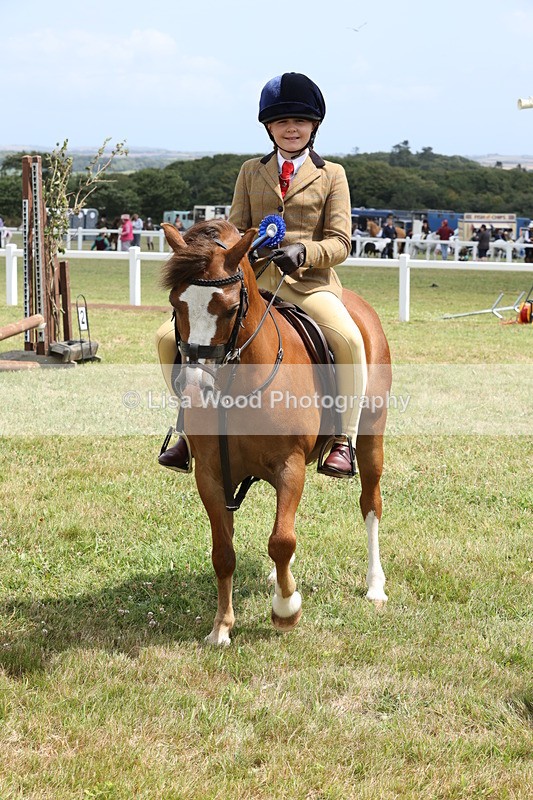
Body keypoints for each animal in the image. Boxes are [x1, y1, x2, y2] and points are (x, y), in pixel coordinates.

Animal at [160, 219, 392, 646]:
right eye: (175, 304)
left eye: (230, 308)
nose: (194, 390)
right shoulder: (211, 474)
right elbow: (224, 552)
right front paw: (221, 627)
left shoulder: (290, 464)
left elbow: (281, 541)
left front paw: (286, 610)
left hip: (371, 438)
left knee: (371, 504)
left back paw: (374, 586)